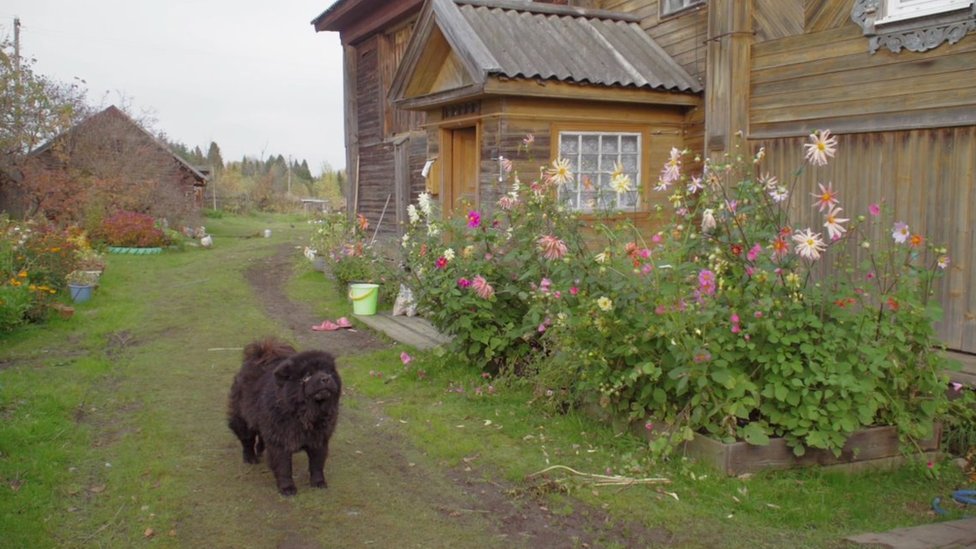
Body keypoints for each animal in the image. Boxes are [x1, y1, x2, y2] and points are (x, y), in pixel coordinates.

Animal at [227, 336, 342, 494]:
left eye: (329, 372)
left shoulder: (319, 440)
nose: (325, 378)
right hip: (243, 419)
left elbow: (317, 465)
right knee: (247, 440)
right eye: (308, 375)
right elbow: (284, 468)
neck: (305, 414)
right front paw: (287, 488)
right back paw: (250, 458)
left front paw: (318, 483)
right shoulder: (280, 443)